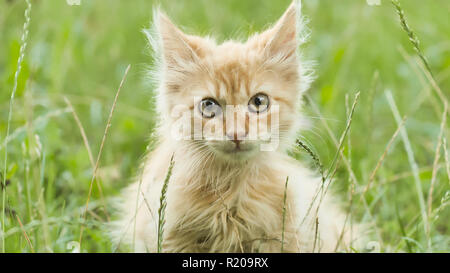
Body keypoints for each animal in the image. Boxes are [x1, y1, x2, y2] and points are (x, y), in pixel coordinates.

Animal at [111, 0, 358, 252]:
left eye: (259, 102)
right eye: (208, 105)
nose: (237, 133)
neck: (231, 186)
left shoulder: (286, 233)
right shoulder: (167, 234)